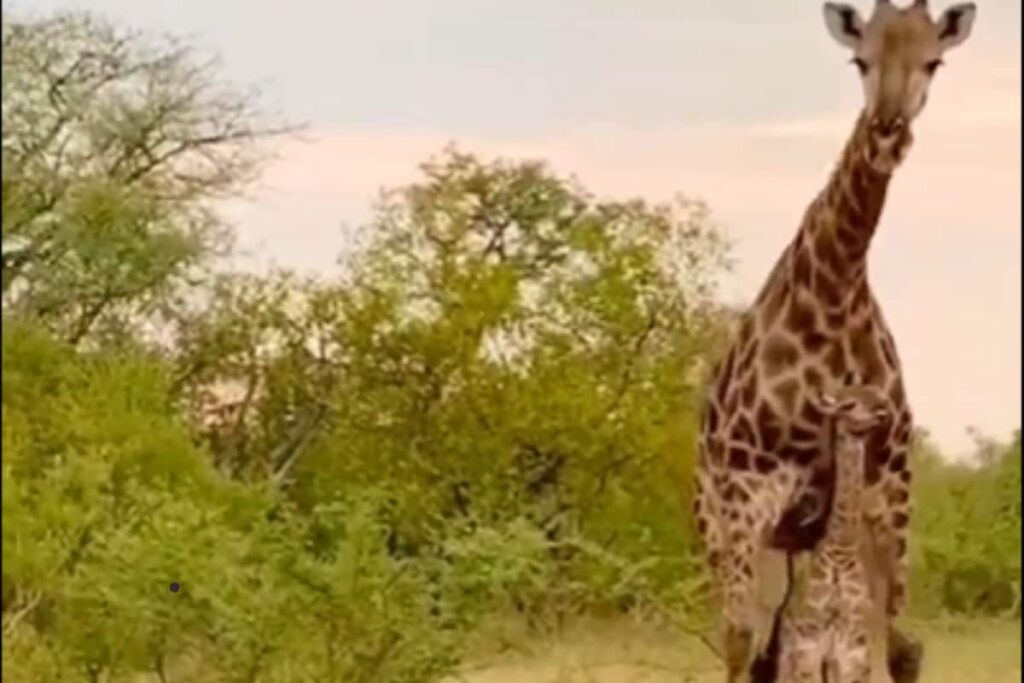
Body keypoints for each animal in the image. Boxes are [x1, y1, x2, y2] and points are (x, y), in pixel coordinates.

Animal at [776, 381, 895, 683]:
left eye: (877, 396)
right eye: (848, 404)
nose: (882, 412)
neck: (841, 550)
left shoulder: (851, 650)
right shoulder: (809, 646)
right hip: (791, 652)